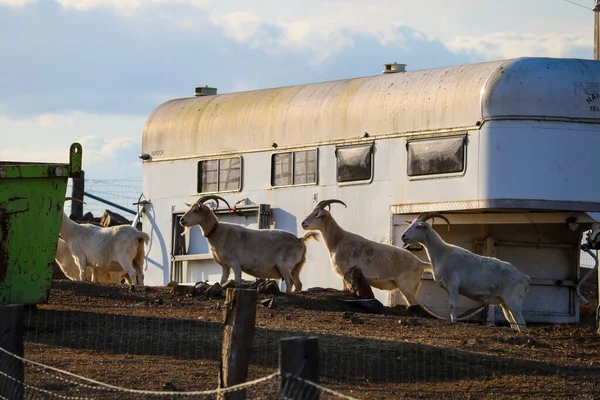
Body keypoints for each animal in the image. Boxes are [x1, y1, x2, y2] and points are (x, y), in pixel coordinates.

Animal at [178, 195, 318, 292]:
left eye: (196, 210)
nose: (182, 220)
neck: (218, 232)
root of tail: (300, 240)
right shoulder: (225, 266)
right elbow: (223, 281)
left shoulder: (235, 263)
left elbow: (237, 281)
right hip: (297, 267)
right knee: (298, 284)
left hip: (285, 266)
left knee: (290, 282)